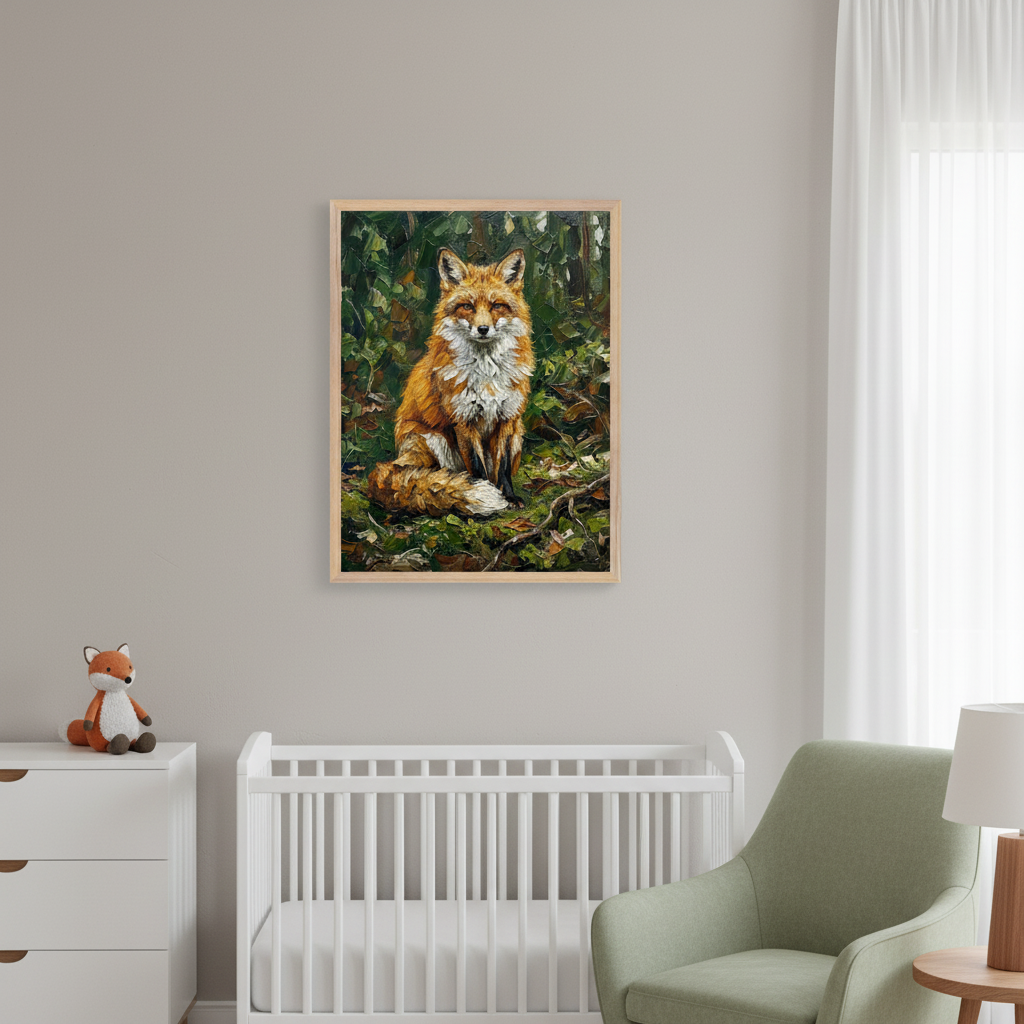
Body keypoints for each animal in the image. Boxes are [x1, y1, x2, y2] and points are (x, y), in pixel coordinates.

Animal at [366, 247, 534, 517]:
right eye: (467, 306)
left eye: (497, 306)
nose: (483, 329)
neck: (487, 374)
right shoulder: (463, 419)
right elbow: (477, 468)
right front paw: (485, 494)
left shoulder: (508, 418)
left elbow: (503, 467)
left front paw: (508, 496)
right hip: (431, 440)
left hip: (519, 433)